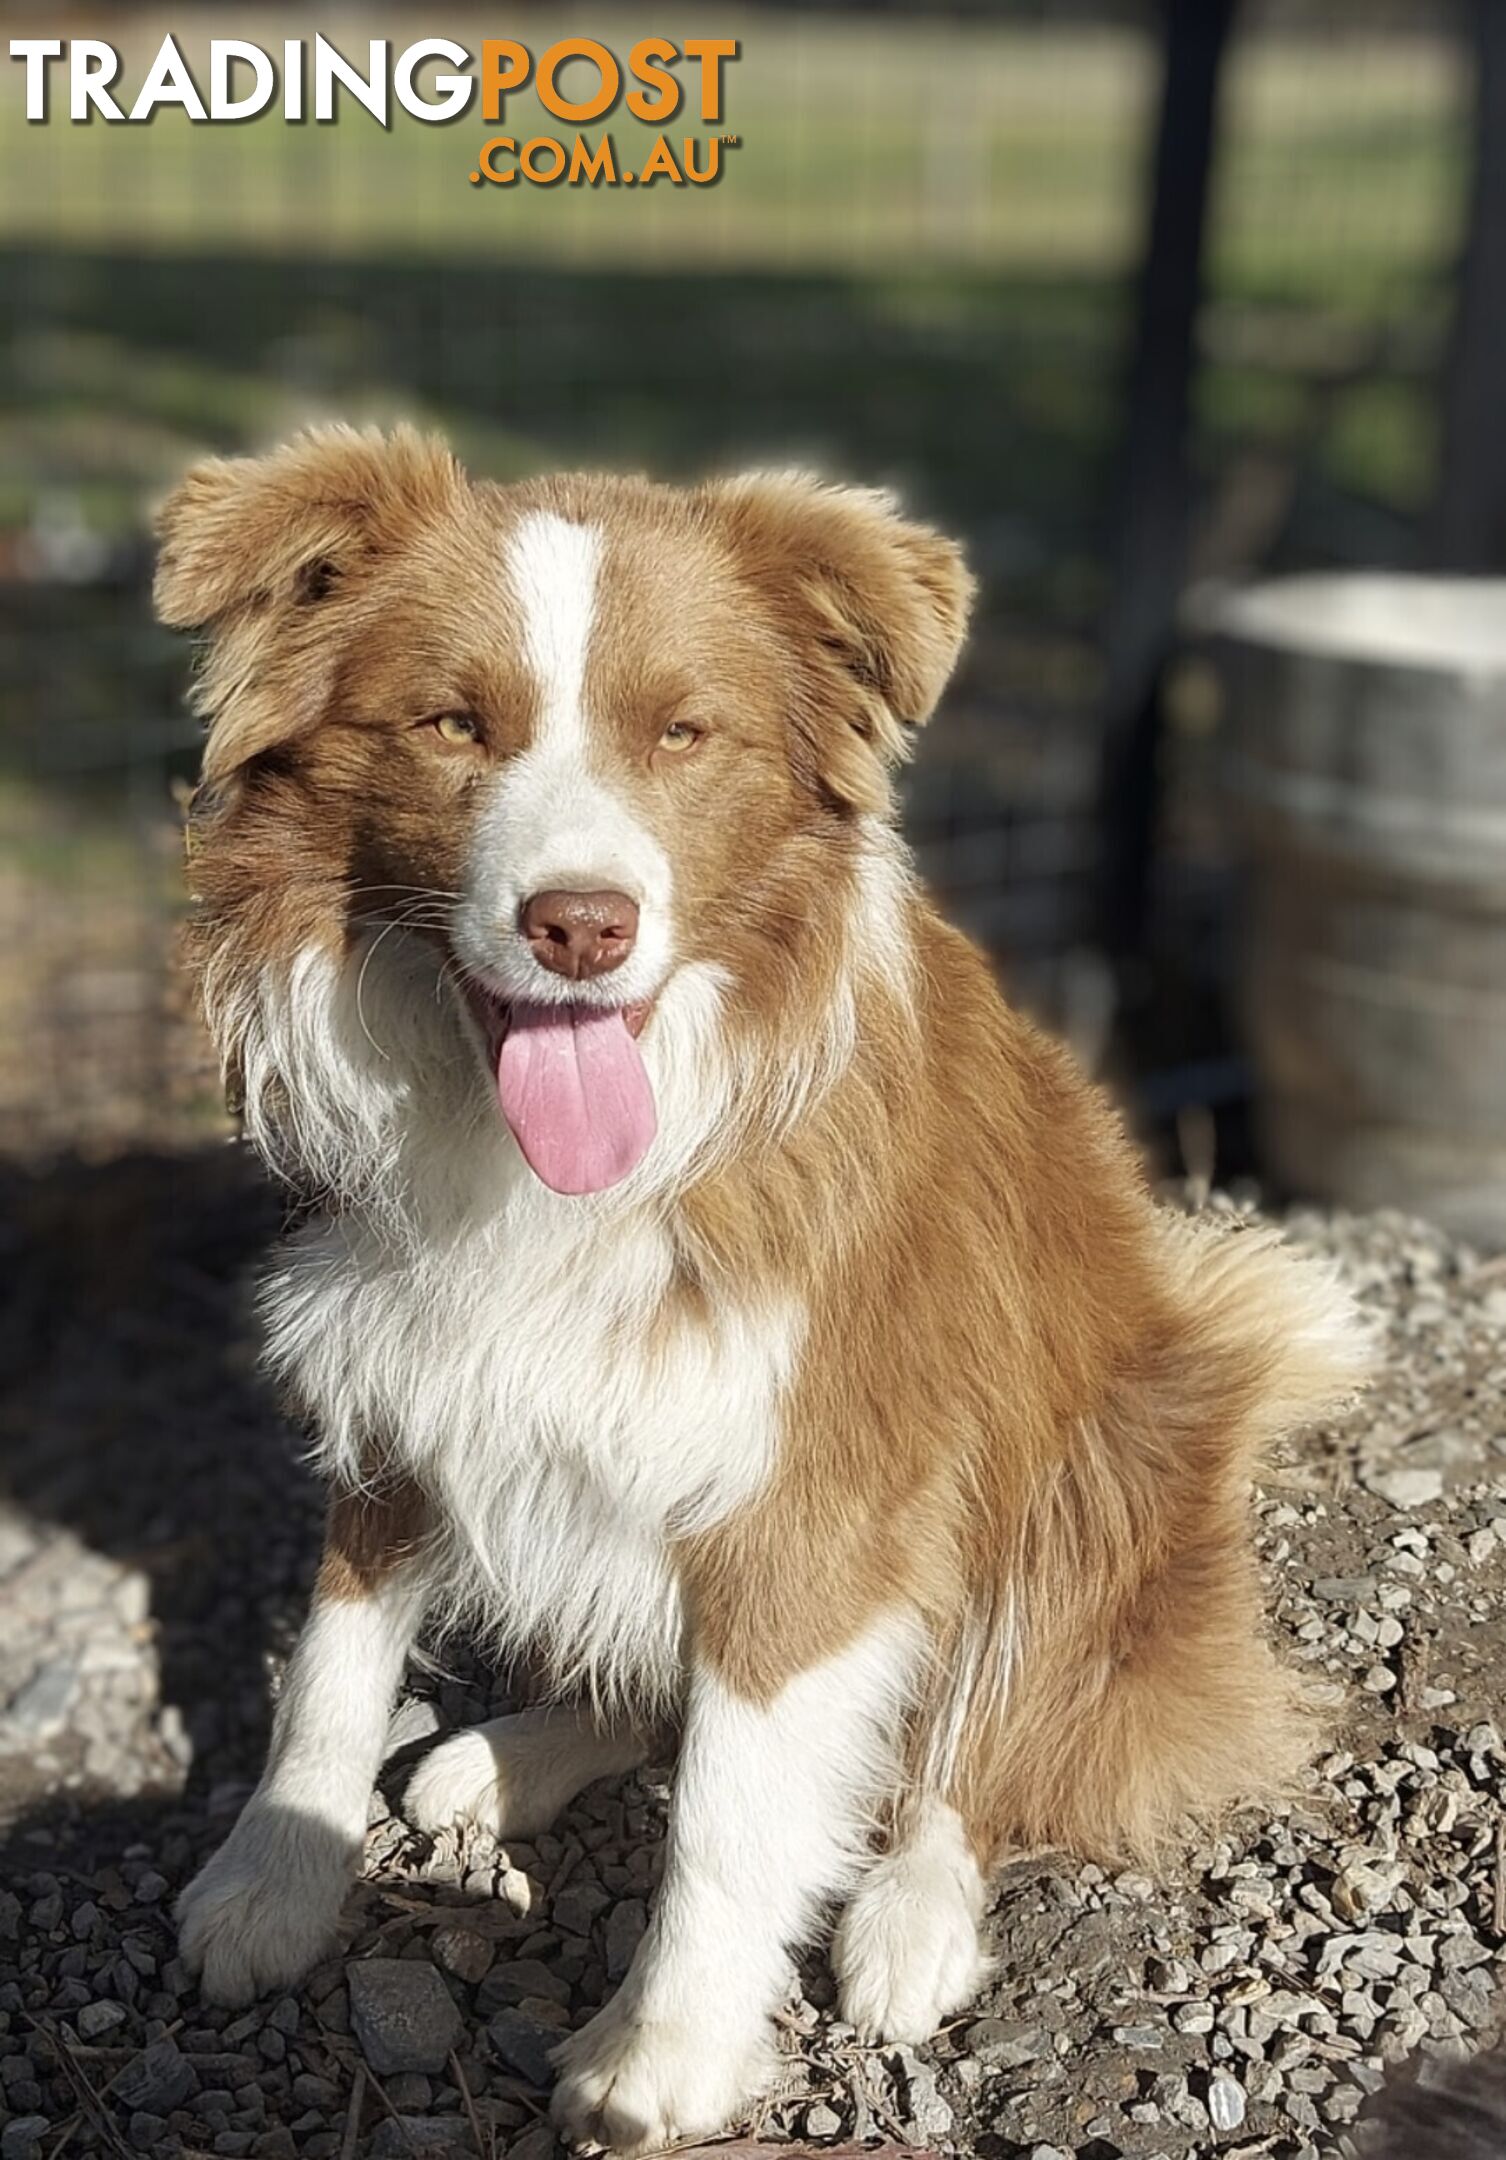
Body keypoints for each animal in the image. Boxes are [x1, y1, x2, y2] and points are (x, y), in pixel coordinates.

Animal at [150, 429, 1365, 2151]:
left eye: (682, 732)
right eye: (453, 723)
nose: (578, 925)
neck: (548, 1166)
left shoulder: (823, 1484)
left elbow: (732, 1813)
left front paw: (665, 2052)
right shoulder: (399, 1376)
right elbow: (328, 1667)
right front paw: (270, 1885)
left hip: (1087, 1475)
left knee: (978, 1747)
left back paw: (911, 1916)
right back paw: (509, 1757)